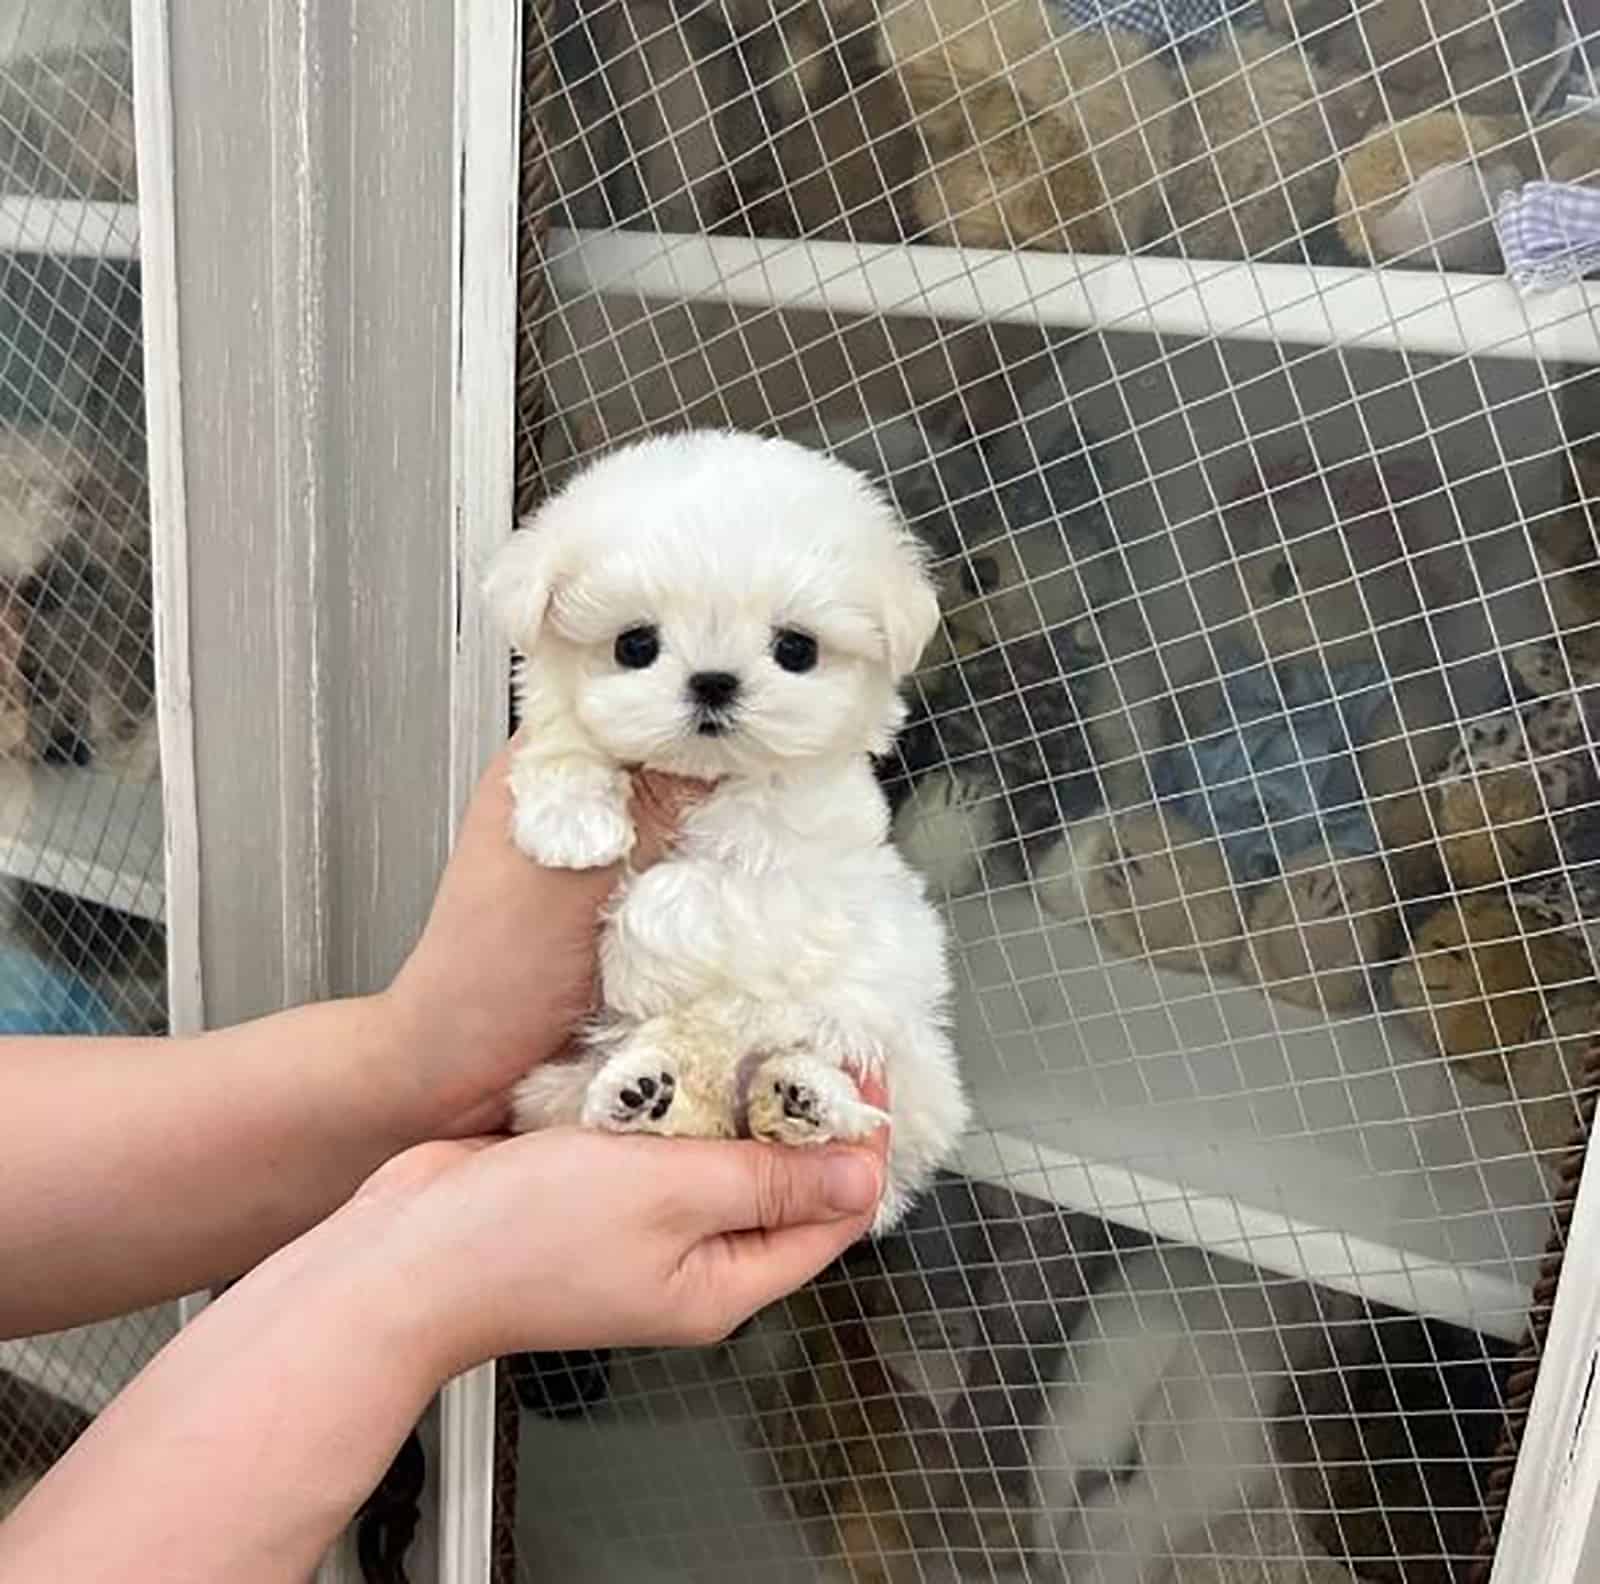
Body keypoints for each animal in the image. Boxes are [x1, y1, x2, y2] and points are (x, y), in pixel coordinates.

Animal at [486, 438, 966, 1241]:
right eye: (635, 644)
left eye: (796, 649)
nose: (713, 682)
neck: (708, 776)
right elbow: (561, 742)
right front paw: (570, 822)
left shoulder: (795, 867)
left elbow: (686, 889)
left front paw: (634, 958)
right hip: (572, 1082)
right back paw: (642, 1094)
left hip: (898, 1049)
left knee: (851, 1092)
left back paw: (803, 1097)